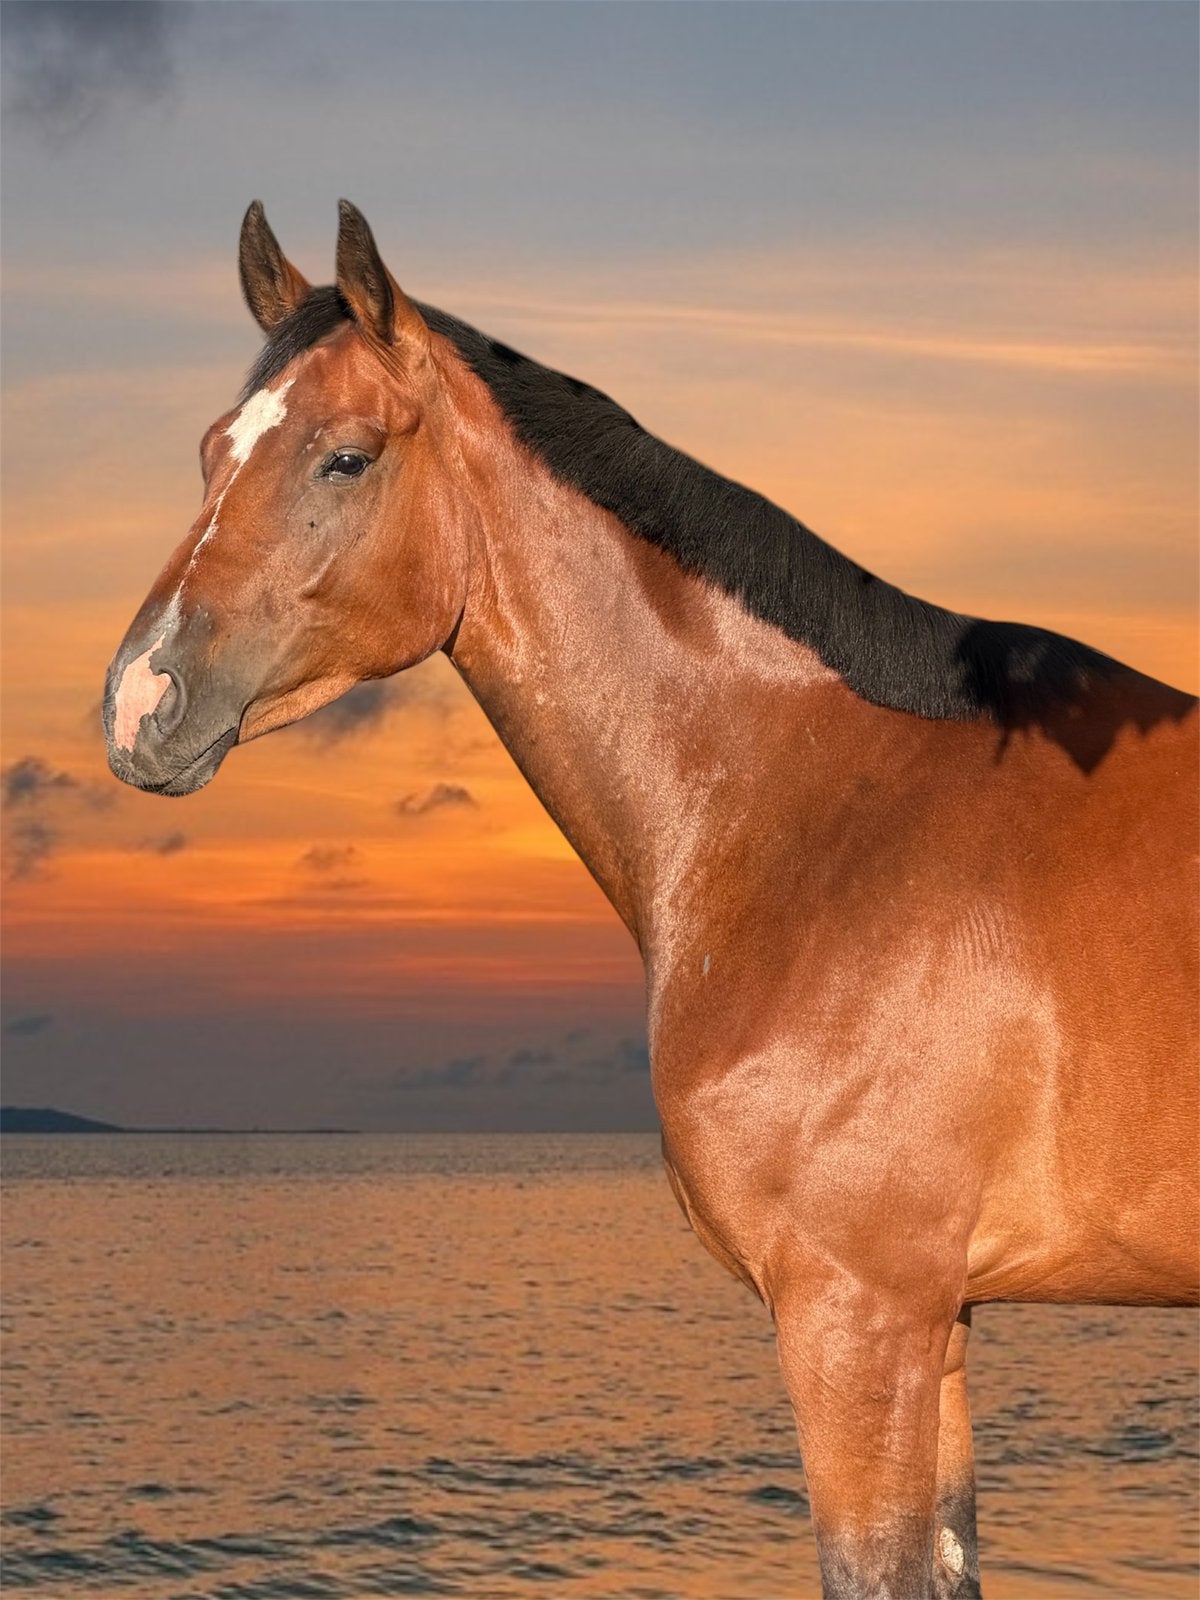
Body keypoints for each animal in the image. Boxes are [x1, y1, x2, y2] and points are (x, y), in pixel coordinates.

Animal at [103, 201, 1198, 1600]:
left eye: (345, 458)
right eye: (208, 452)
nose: (139, 701)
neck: (830, 813)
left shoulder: (857, 1319)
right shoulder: (936, 1325)